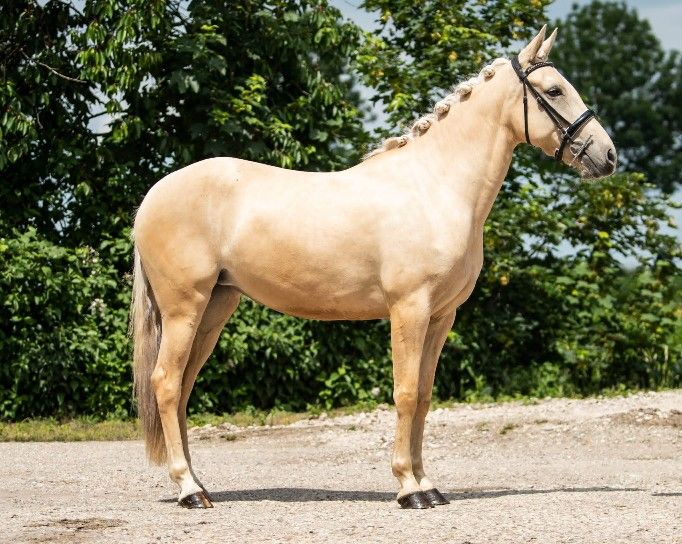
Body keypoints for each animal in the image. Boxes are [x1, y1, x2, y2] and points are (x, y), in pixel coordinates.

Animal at [130, 26, 617, 509]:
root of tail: (152, 197)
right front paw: (408, 489)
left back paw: (198, 485)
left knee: (183, 387)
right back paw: (189, 490)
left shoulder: (441, 316)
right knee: (166, 383)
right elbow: (405, 393)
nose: (608, 156)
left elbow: (424, 395)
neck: (435, 186)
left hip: (215, 307)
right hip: (185, 308)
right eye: (554, 90)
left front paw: (428, 485)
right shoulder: (409, 310)